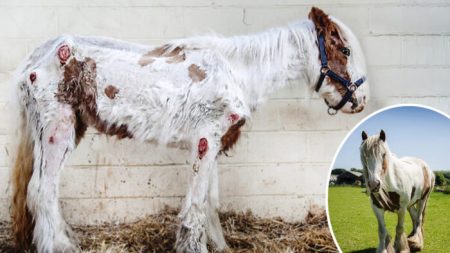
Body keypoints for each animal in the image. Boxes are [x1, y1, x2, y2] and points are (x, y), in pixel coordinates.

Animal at [11, 6, 370, 252]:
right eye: (346, 50)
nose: (361, 101)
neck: (236, 72)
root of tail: (37, 56)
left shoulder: (216, 143)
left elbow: (210, 202)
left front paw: (219, 245)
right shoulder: (205, 141)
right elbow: (196, 205)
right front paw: (194, 245)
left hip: (63, 130)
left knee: (38, 190)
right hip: (57, 129)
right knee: (44, 191)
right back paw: (60, 246)